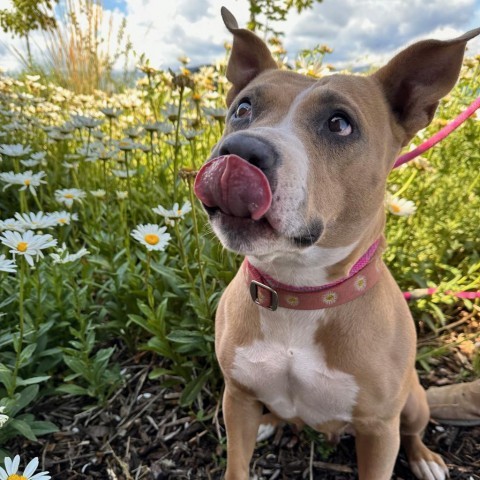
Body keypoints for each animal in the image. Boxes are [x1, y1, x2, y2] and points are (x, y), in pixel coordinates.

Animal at [193, 7, 478, 480]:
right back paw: (271, 421)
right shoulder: (237, 397)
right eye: (243, 108)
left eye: (340, 124)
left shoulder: (379, 430)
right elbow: (236, 463)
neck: (298, 290)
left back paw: (425, 458)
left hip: (413, 400)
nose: (239, 151)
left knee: (414, 431)